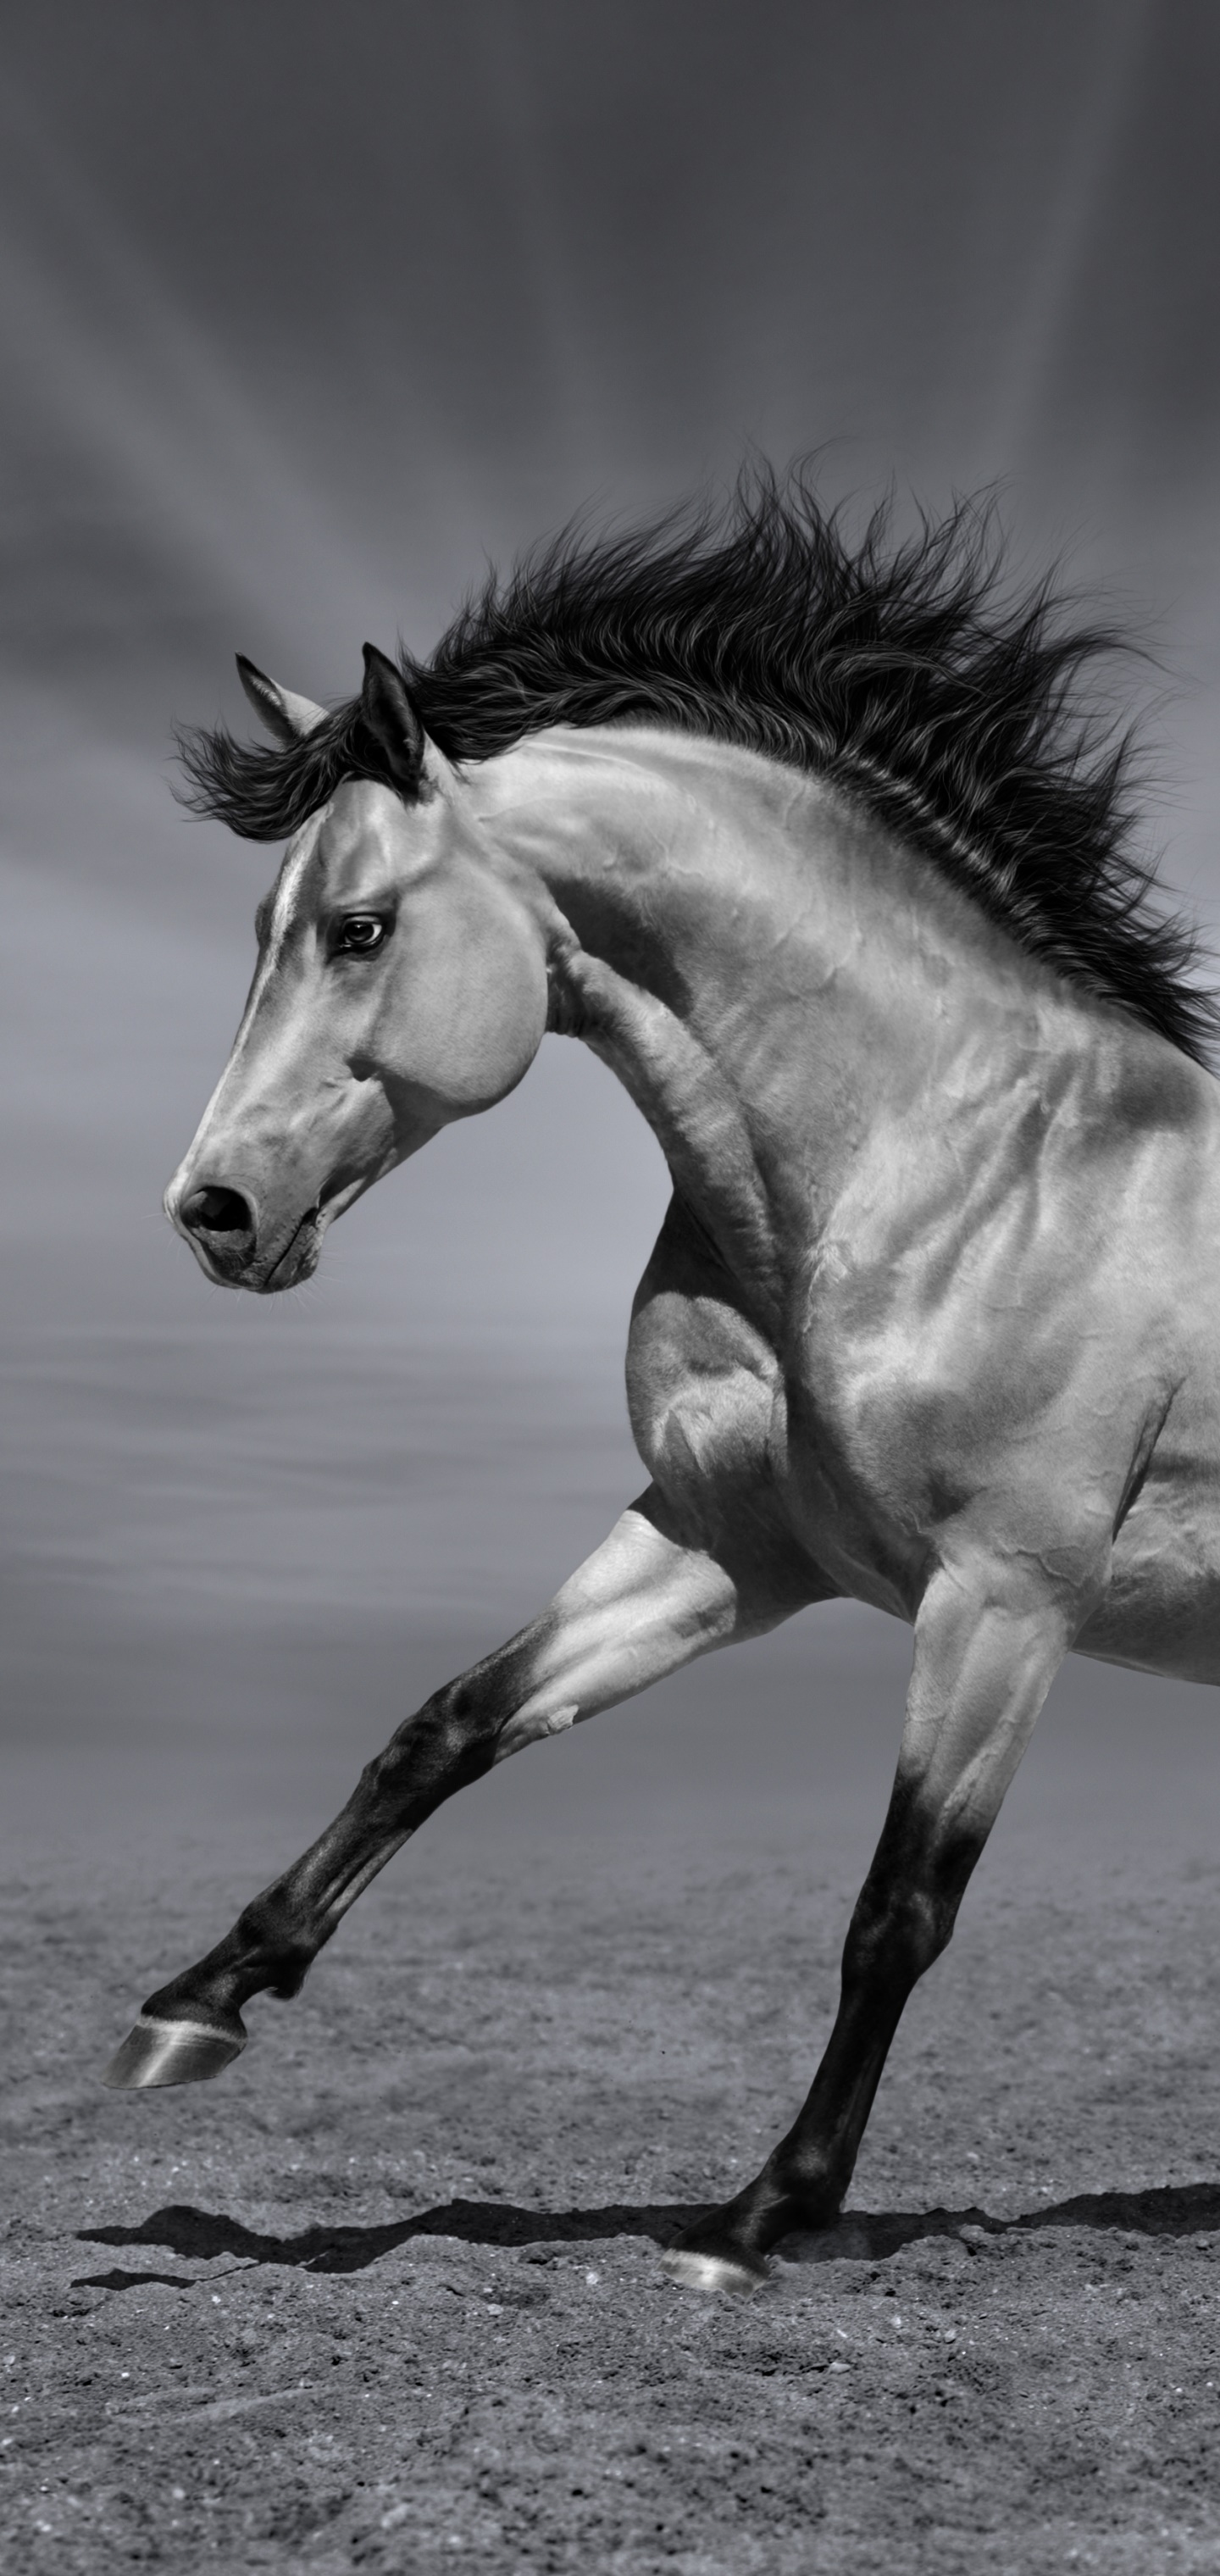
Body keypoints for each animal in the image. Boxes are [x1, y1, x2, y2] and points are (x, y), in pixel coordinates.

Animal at [103, 474, 1220, 2295]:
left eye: (359, 928)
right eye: (264, 929)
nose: (214, 1214)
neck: (954, 1166)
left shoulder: (1003, 1601)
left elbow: (898, 1911)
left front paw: (760, 2218)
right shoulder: (727, 1547)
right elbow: (446, 1728)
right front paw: (198, 2004)